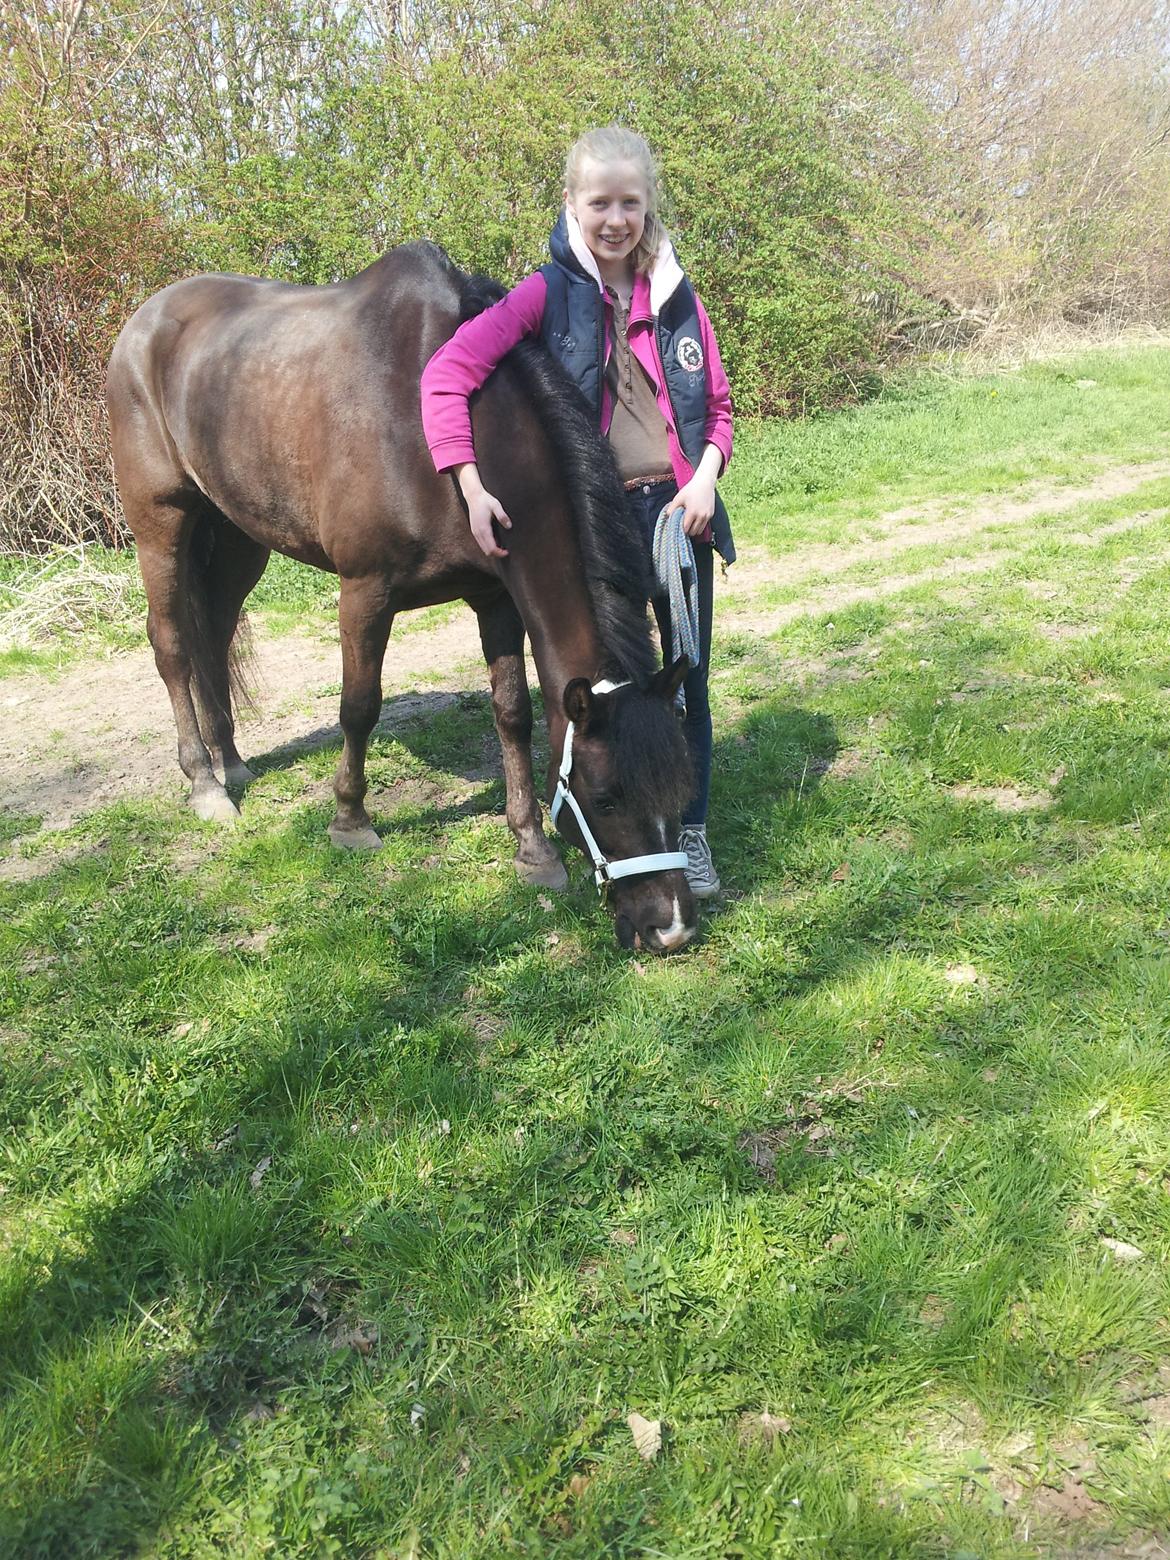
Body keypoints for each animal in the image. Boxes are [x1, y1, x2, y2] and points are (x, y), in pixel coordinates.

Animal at [105, 243, 702, 948]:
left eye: (680, 785)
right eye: (605, 796)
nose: (672, 928)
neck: (437, 432)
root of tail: (144, 321)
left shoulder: (496, 600)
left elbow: (512, 715)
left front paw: (532, 847)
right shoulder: (365, 592)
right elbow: (359, 707)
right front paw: (350, 820)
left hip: (236, 534)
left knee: (215, 635)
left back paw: (232, 762)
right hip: (161, 522)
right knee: (172, 643)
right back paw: (205, 784)